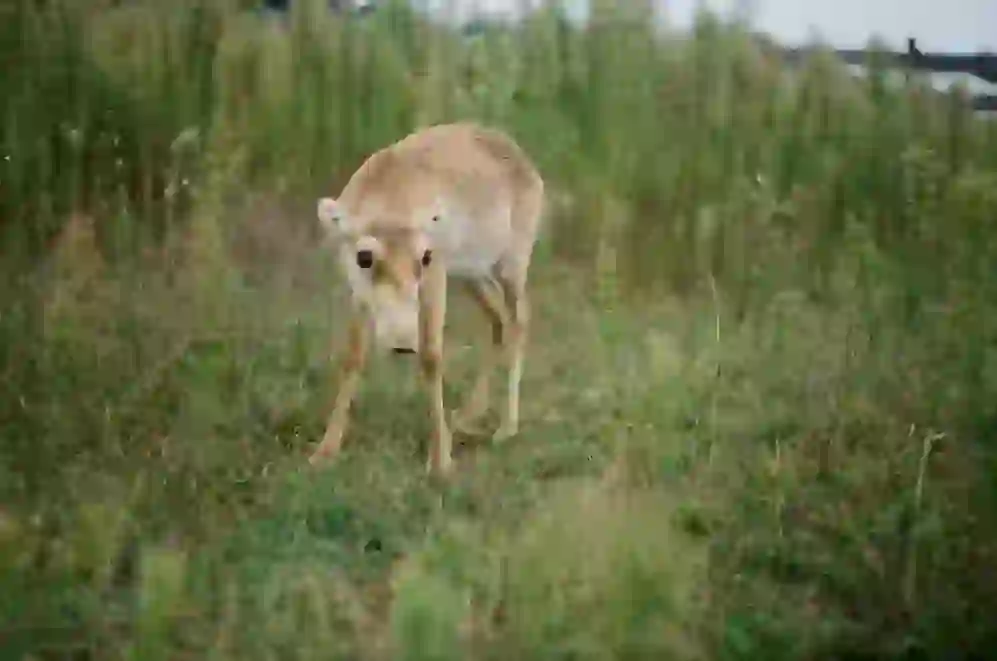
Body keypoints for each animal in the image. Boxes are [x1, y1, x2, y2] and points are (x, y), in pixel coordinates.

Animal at [310, 122, 544, 474]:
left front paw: (441, 461)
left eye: (424, 257)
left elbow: (432, 357)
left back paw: (506, 428)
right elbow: (352, 357)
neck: (391, 197)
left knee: (520, 321)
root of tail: (520, 155)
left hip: (510, 266)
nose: (403, 345)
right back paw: (468, 415)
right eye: (364, 257)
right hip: (472, 276)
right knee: (498, 319)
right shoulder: (359, 292)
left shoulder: (435, 279)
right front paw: (325, 451)